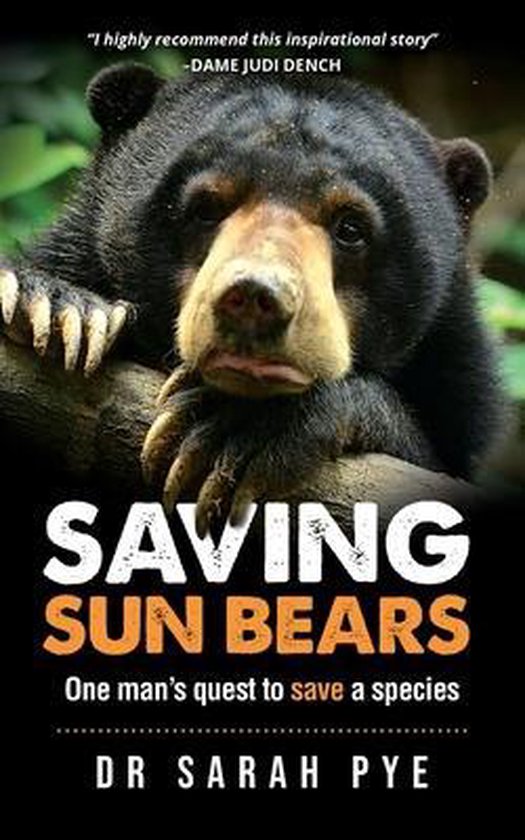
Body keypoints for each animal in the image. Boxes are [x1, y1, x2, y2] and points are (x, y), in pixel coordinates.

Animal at [0, 64, 503, 536]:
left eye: (350, 227)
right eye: (206, 207)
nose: (254, 298)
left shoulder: (457, 385)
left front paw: (232, 430)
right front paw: (60, 310)